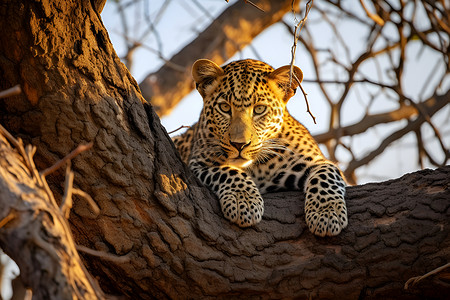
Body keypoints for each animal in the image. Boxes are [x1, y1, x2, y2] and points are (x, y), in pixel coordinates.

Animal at [172, 59, 348, 237]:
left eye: (259, 109)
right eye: (225, 108)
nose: (239, 144)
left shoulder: (314, 160)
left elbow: (326, 174)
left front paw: (326, 214)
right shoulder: (198, 163)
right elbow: (228, 172)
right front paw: (244, 201)